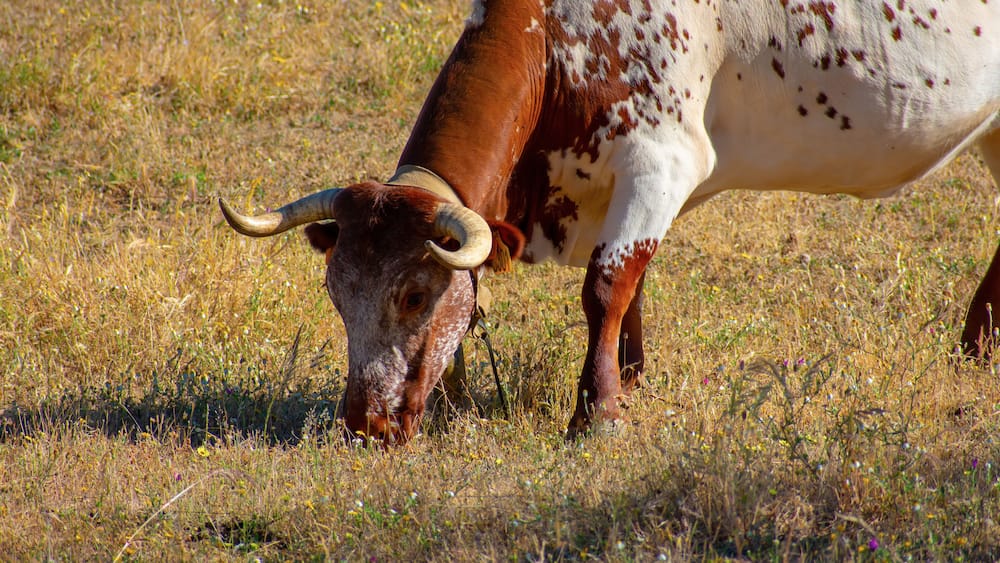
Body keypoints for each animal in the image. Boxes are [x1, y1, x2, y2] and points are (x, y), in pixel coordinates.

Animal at [220, 0, 1000, 445]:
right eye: (336, 294)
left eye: (412, 295)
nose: (366, 423)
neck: (558, 38)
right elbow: (630, 287)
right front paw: (630, 378)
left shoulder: (662, 160)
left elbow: (607, 285)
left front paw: (598, 414)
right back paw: (976, 346)